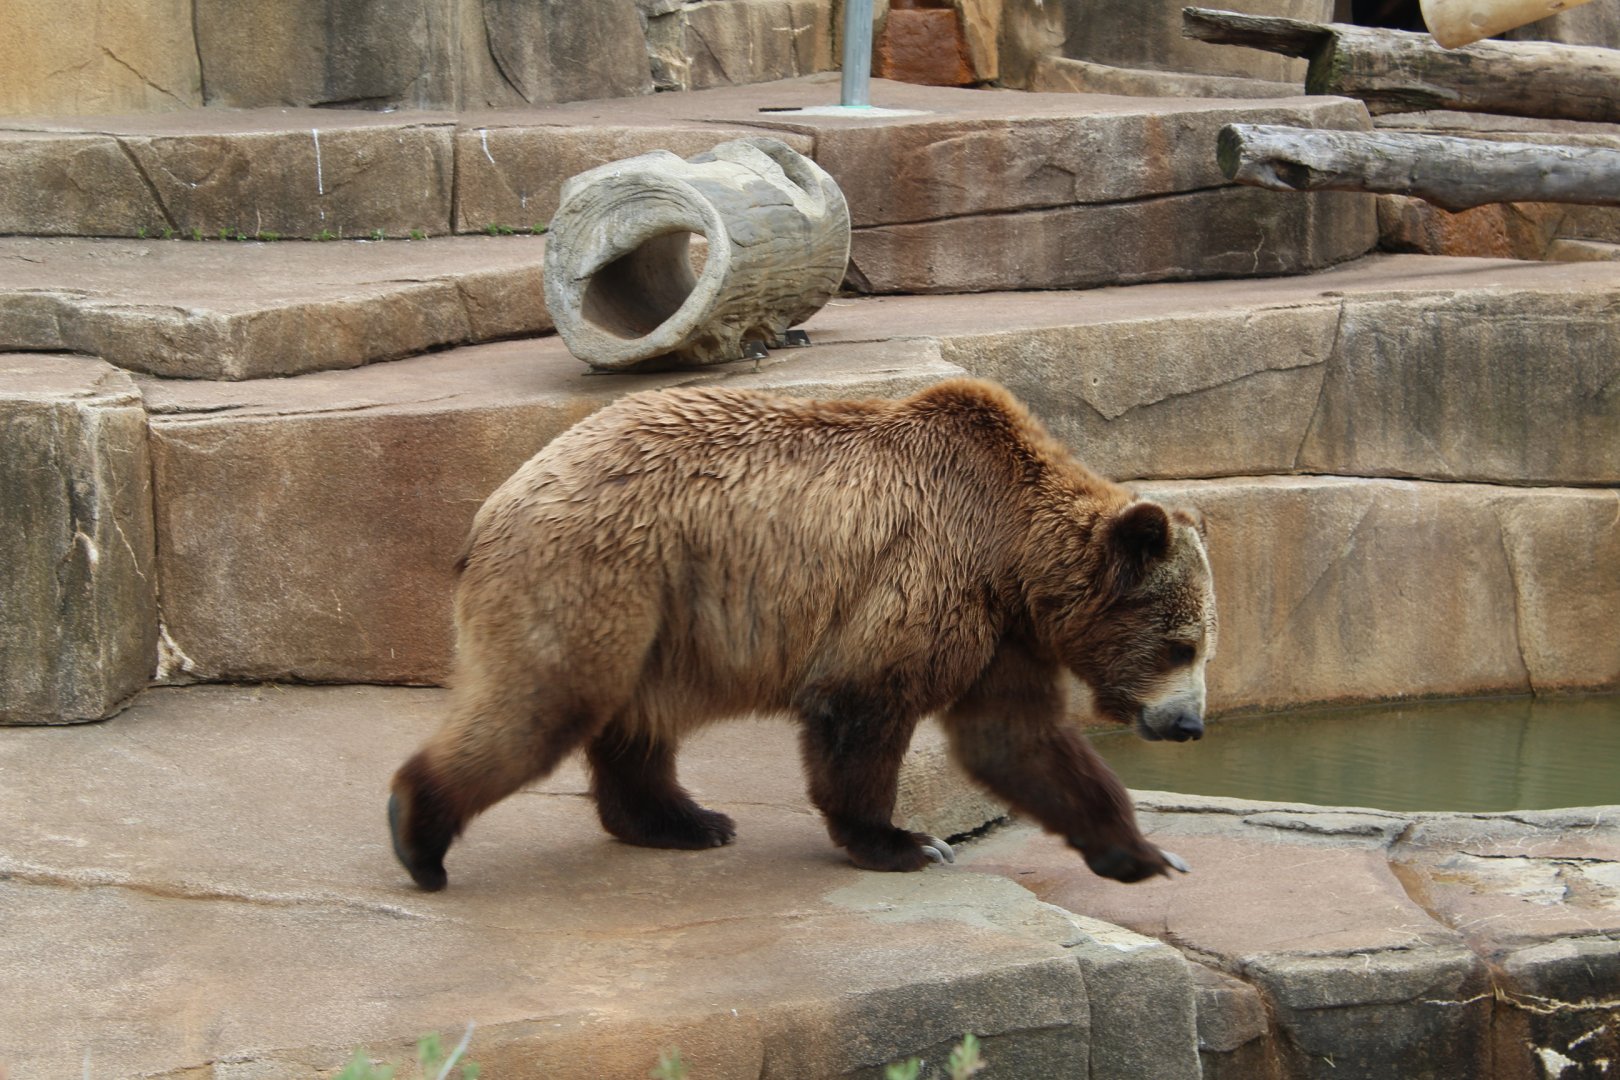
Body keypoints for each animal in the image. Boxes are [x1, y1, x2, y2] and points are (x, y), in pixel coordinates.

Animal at [389, 377, 1216, 892]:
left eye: (1204, 644)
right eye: (1181, 645)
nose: (1190, 724)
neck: (1012, 553)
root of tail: (494, 501)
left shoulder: (997, 631)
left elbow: (1017, 741)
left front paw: (1144, 853)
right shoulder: (927, 575)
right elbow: (861, 706)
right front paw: (905, 842)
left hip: (659, 612)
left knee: (633, 722)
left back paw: (683, 820)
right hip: (597, 570)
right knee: (541, 701)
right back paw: (417, 834)